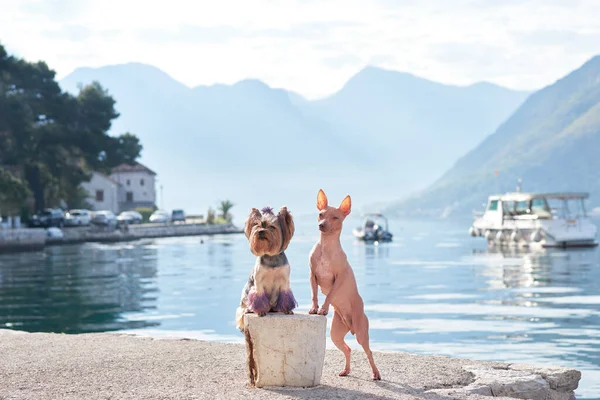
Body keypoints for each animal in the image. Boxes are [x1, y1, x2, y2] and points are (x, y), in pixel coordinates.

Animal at [310, 189, 380, 380]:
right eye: (320, 214)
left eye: (335, 217)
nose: (321, 225)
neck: (326, 247)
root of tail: (351, 327)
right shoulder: (312, 275)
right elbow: (314, 294)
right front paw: (314, 308)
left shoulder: (338, 279)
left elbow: (329, 295)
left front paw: (323, 309)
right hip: (336, 335)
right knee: (347, 349)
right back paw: (346, 370)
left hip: (362, 334)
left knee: (369, 352)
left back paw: (376, 374)